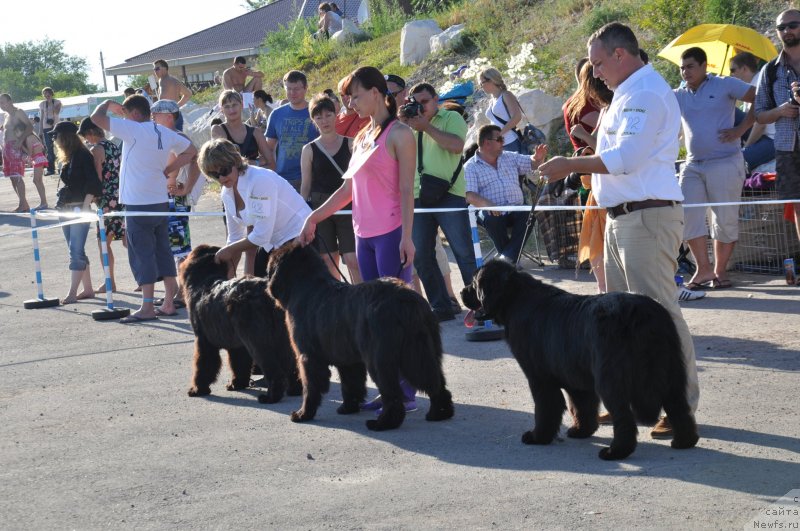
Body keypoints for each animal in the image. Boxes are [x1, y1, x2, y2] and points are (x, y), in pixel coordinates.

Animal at [178, 245, 300, 404]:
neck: (204, 279)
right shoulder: (238, 345)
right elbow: (239, 364)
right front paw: (238, 383)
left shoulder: (204, 341)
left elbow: (203, 365)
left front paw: (198, 389)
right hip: (282, 339)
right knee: (291, 365)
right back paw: (295, 389)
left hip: (260, 342)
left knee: (273, 369)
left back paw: (271, 396)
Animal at [266, 243, 454, 430]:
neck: (305, 285)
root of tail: (406, 299)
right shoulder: (347, 358)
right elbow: (351, 383)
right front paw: (348, 408)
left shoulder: (308, 357)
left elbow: (311, 387)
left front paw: (303, 414)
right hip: (421, 350)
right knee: (435, 380)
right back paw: (439, 413)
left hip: (380, 358)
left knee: (392, 392)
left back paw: (383, 423)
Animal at [460, 260, 696, 460]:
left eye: (474, 283)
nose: (462, 291)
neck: (515, 299)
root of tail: (642, 314)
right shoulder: (576, 376)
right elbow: (582, 405)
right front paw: (582, 431)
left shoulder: (539, 377)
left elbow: (545, 407)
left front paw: (538, 437)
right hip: (671, 369)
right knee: (679, 406)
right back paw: (684, 441)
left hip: (611, 378)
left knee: (623, 416)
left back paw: (616, 451)